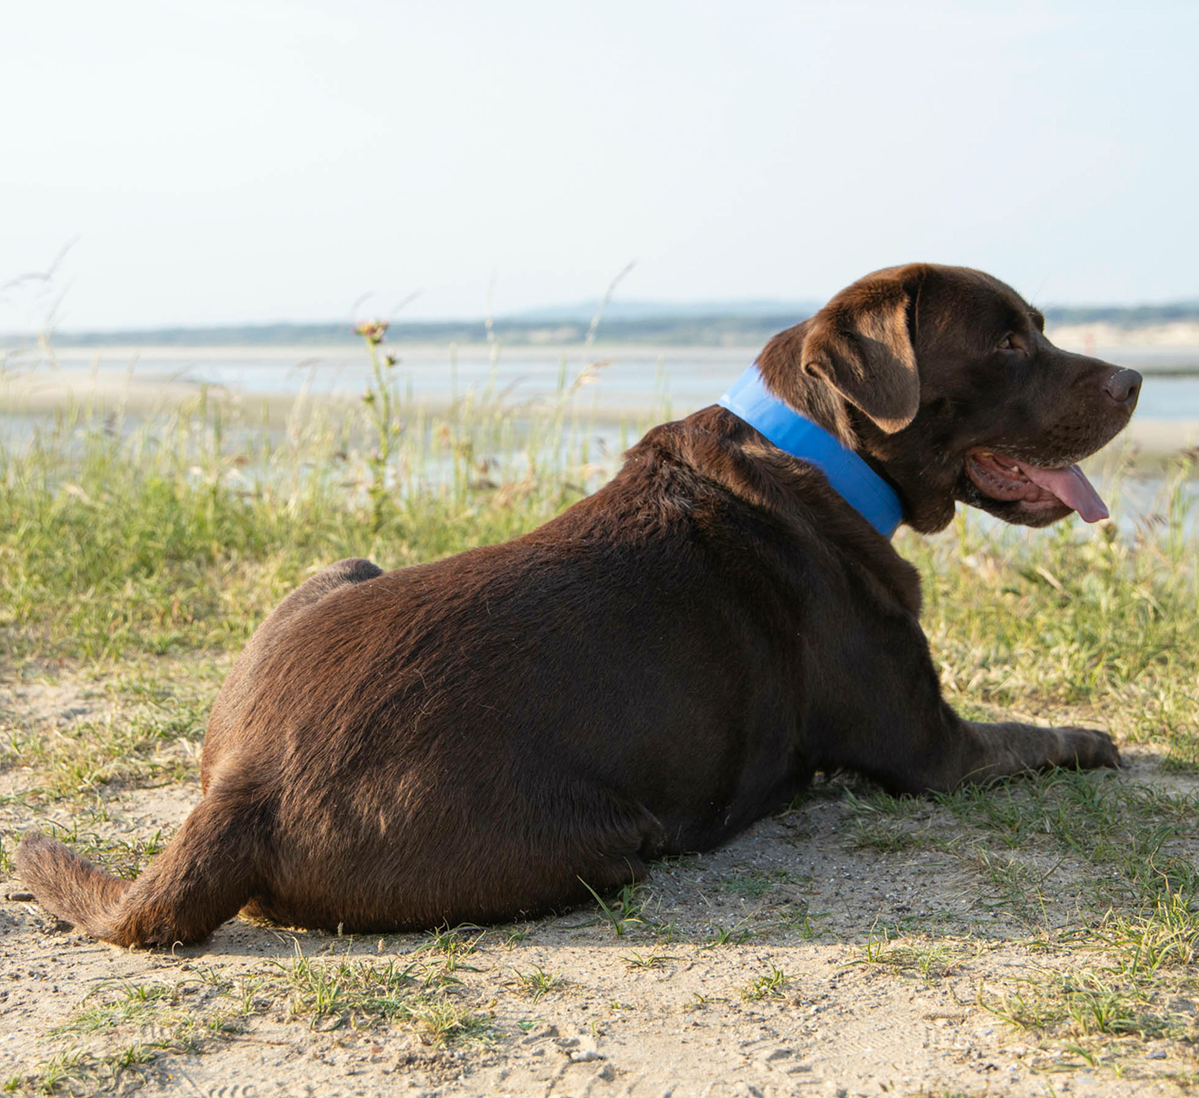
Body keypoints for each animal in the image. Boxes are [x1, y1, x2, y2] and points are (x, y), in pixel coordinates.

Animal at [18, 263, 1141, 944]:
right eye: (1007, 344)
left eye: (1038, 330)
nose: (1134, 377)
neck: (819, 450)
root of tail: (242, 792)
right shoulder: (932, 749)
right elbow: (1045, 733)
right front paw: (1098, 738)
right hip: (611, 839)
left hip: (341, 567)